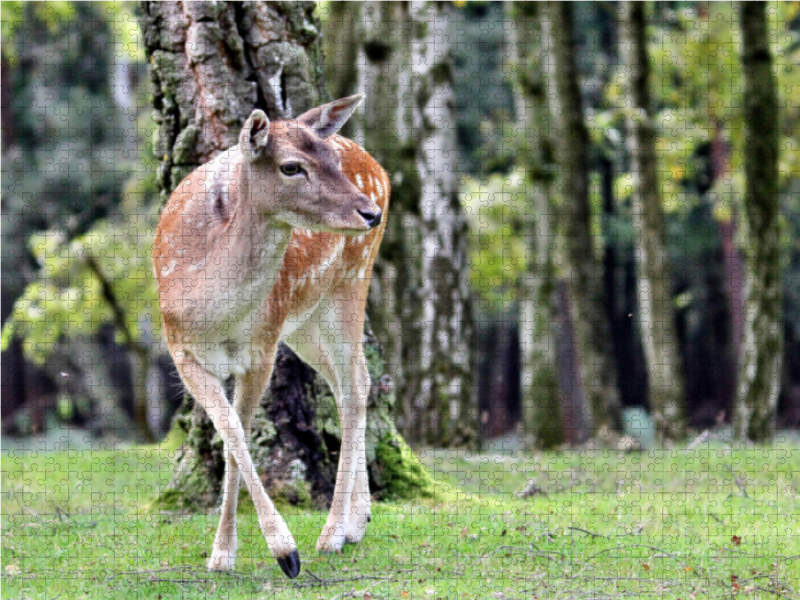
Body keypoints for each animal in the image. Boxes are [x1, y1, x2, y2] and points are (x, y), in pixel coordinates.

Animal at [152, 96, 390, 580]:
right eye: (291, 167)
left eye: (331, 159)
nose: (369, 213)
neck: (210, 312)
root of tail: (381, 170)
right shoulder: (182, 351)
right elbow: (231, 434)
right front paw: (224, 555)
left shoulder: (262, 347)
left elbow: (237, 437)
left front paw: (284, 552)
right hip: (304, 323)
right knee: (350, 380)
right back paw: (358, 522)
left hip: (348, 283)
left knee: (355, 385)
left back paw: (333, 533)